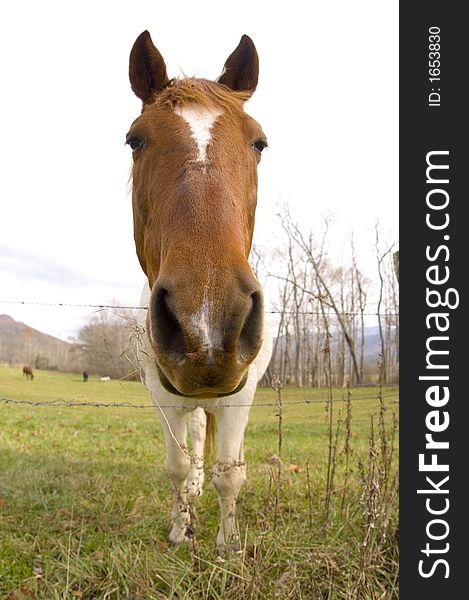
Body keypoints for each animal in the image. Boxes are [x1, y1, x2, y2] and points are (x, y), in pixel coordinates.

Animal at [128, 30, 272, 552]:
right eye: (135, 140)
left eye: (259, 143)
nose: (207, 322)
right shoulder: (162, 395)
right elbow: (177, 466)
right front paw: (180, 529)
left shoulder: (238, 397)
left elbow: (230, 474)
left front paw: (228, 545)